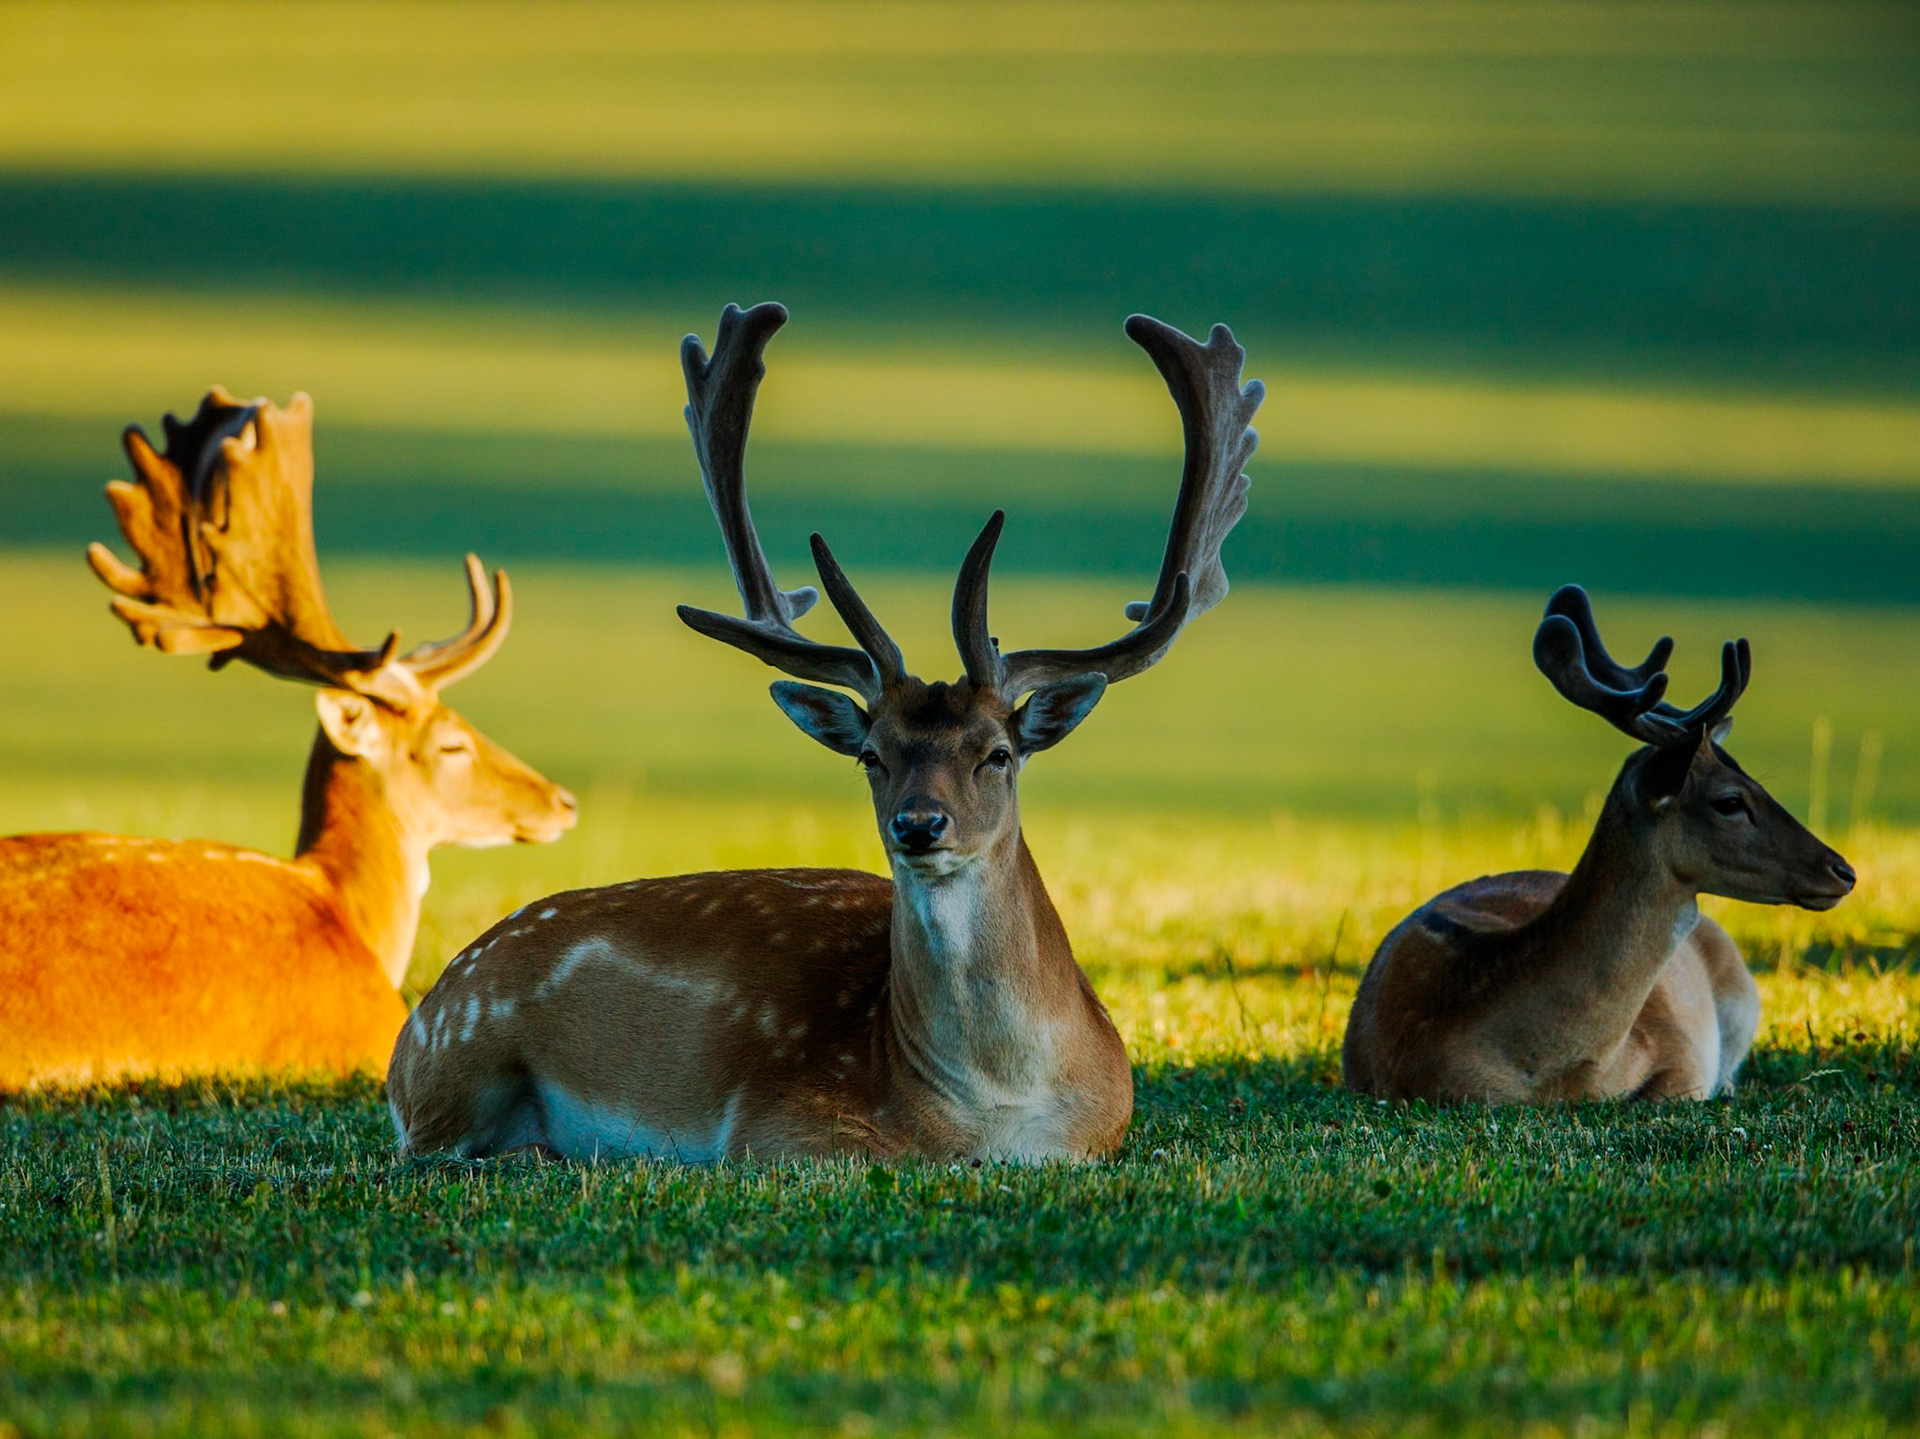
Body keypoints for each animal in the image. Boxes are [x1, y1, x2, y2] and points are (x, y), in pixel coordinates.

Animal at [387, 301, 1263, 1163]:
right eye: (873, 754)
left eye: (999, 753)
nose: (919, 822)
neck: (995, 1109)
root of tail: (414, 1022)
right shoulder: (774, 1123)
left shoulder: (1106, 1125)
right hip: (461, 1057)